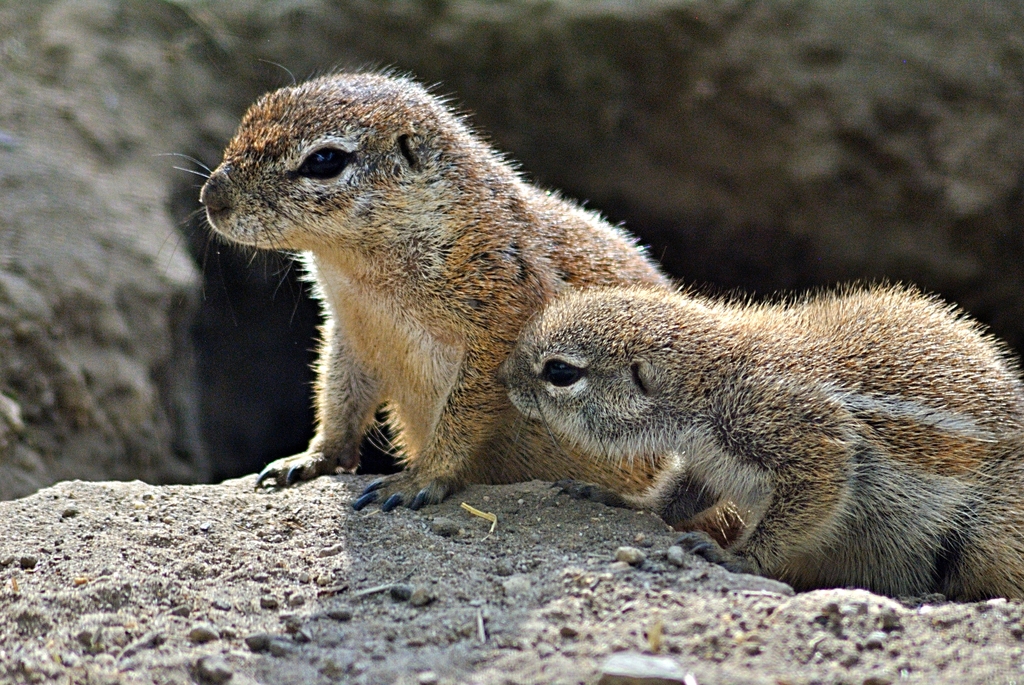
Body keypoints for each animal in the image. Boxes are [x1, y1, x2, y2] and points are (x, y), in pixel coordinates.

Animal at [199, 72, 669, 511]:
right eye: (252, 113)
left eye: (325, 160)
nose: (211, 197)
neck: (362, 277)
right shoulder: (350, 331)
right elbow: (339, 395)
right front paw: (310, 458)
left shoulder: (498, 326)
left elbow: (464, 416)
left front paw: (418, 480)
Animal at [499, 284, 1024, 600]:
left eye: (560, 372)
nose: (501, 377)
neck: (709, 382)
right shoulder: (708, 459)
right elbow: (676, 497)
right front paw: (619, 498)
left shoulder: (799, 436)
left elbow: (813, 495)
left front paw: (738, 556)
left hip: (993, 534)